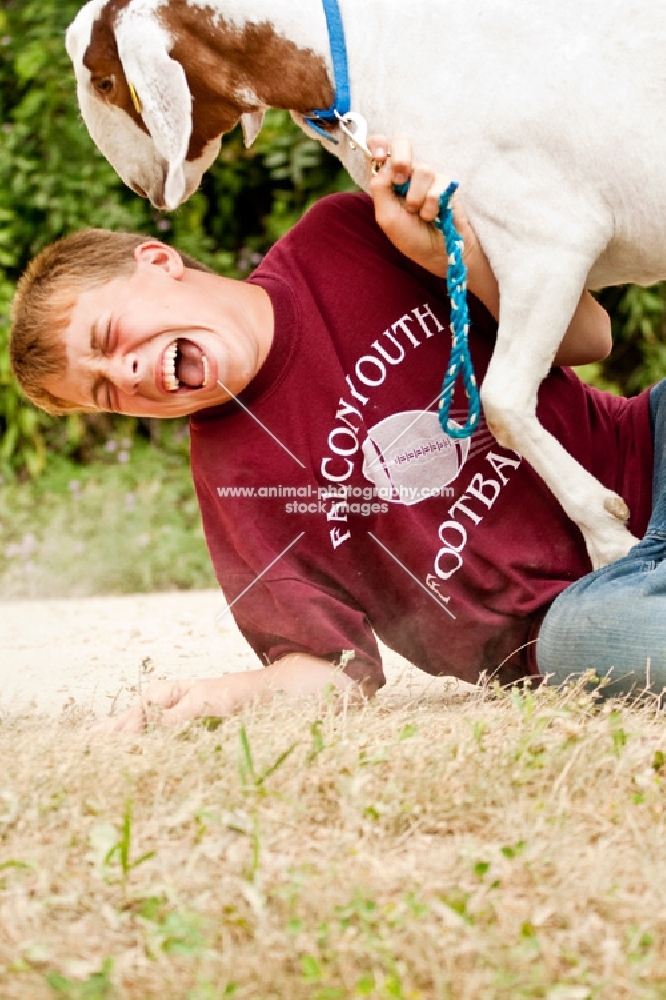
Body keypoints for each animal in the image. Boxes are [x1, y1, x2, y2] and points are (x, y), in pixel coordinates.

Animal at [66, 0, 664, 572]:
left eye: (105, 82)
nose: (143, 189)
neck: (359, 47)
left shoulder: (546, 240)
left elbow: (503, 401)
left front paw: (608, 537)